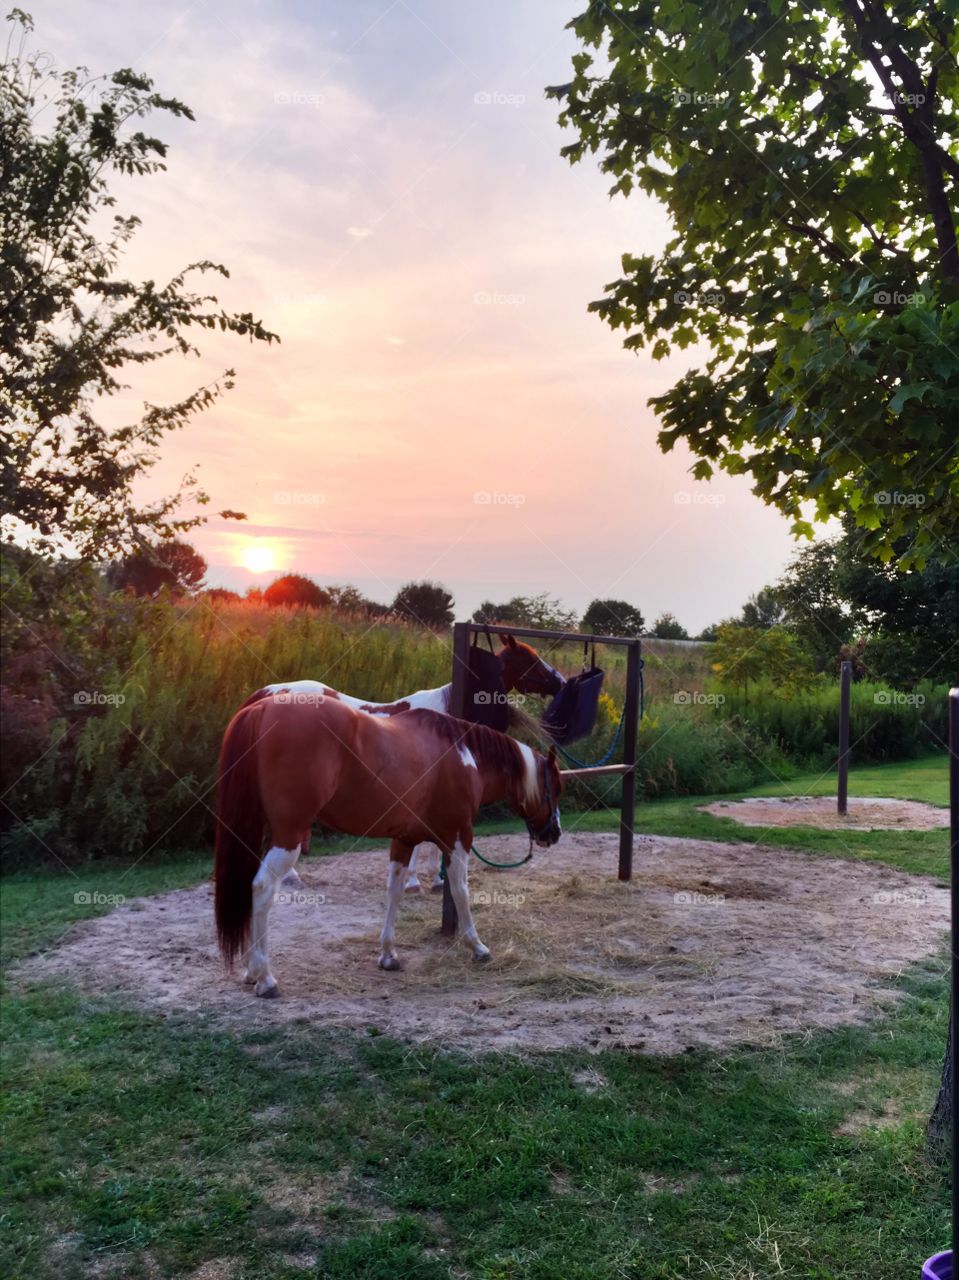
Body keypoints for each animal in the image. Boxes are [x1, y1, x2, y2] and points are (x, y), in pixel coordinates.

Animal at [214, 693, 564, 996]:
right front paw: (477, 946)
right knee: (262, 888)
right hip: (289, 835)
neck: (462, 753)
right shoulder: (458, 836)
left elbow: (394, 891)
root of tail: (262, 708)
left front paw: (388, 954)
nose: (554, 834)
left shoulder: (404, 840)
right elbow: (460, 890)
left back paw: (250, 971)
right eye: (556, 788)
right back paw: (265, 978)